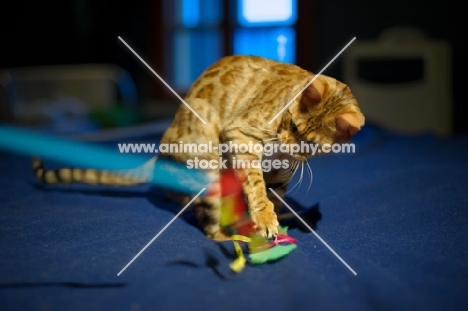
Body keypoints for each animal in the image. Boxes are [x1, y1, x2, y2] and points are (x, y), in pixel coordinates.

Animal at [34, 54, 368, 241]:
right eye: (294, 126)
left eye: (310, 144)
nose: (286, 143)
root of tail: (159, 156)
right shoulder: (240, 136)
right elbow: (256, 188)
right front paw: (264, 219)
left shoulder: (281, 175)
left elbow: (271, 193)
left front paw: (271, 218)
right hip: (207, 163)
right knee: (207, 224)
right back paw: (227, 238)